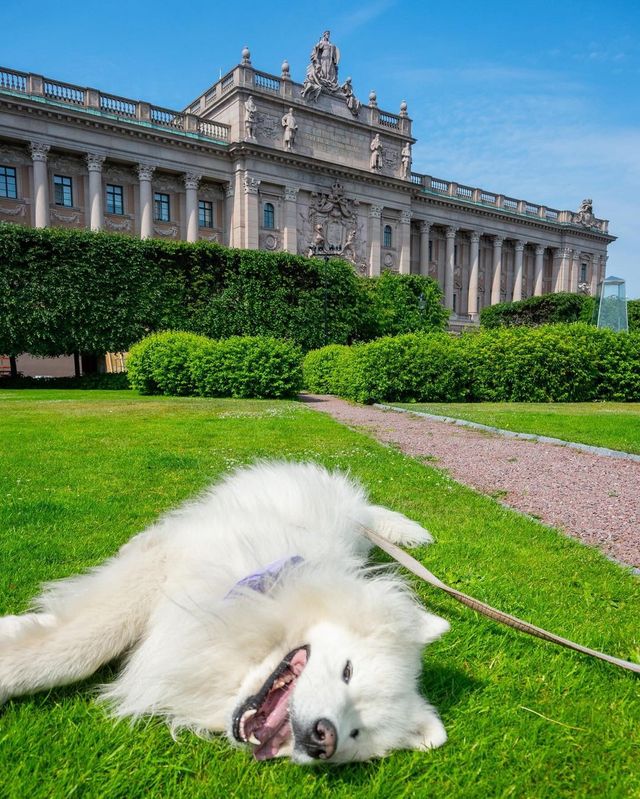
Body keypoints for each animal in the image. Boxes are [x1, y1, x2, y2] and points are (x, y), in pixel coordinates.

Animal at [1, 460, 450, 764]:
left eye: (358, 733)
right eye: (347, 671)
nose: (325, 739)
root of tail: (356, 514)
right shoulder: (169, 566)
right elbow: (86, 645)